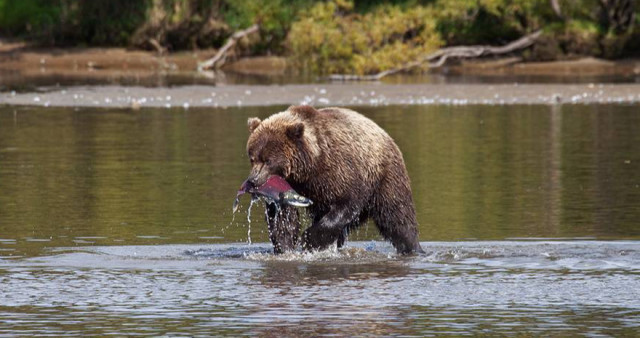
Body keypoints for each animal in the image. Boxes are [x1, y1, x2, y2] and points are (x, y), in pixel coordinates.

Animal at [245, 105, 424, 254]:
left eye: (268, 160)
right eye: (253, 158)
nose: (253, 180)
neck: (308, 168)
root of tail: (387, 136)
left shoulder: (340, 171)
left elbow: (346, 203)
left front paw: (308, 239)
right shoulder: (289, 189)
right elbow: (284, 218)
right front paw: (285, 247)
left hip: (384, 178)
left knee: (397, 217)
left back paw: (413, 248)